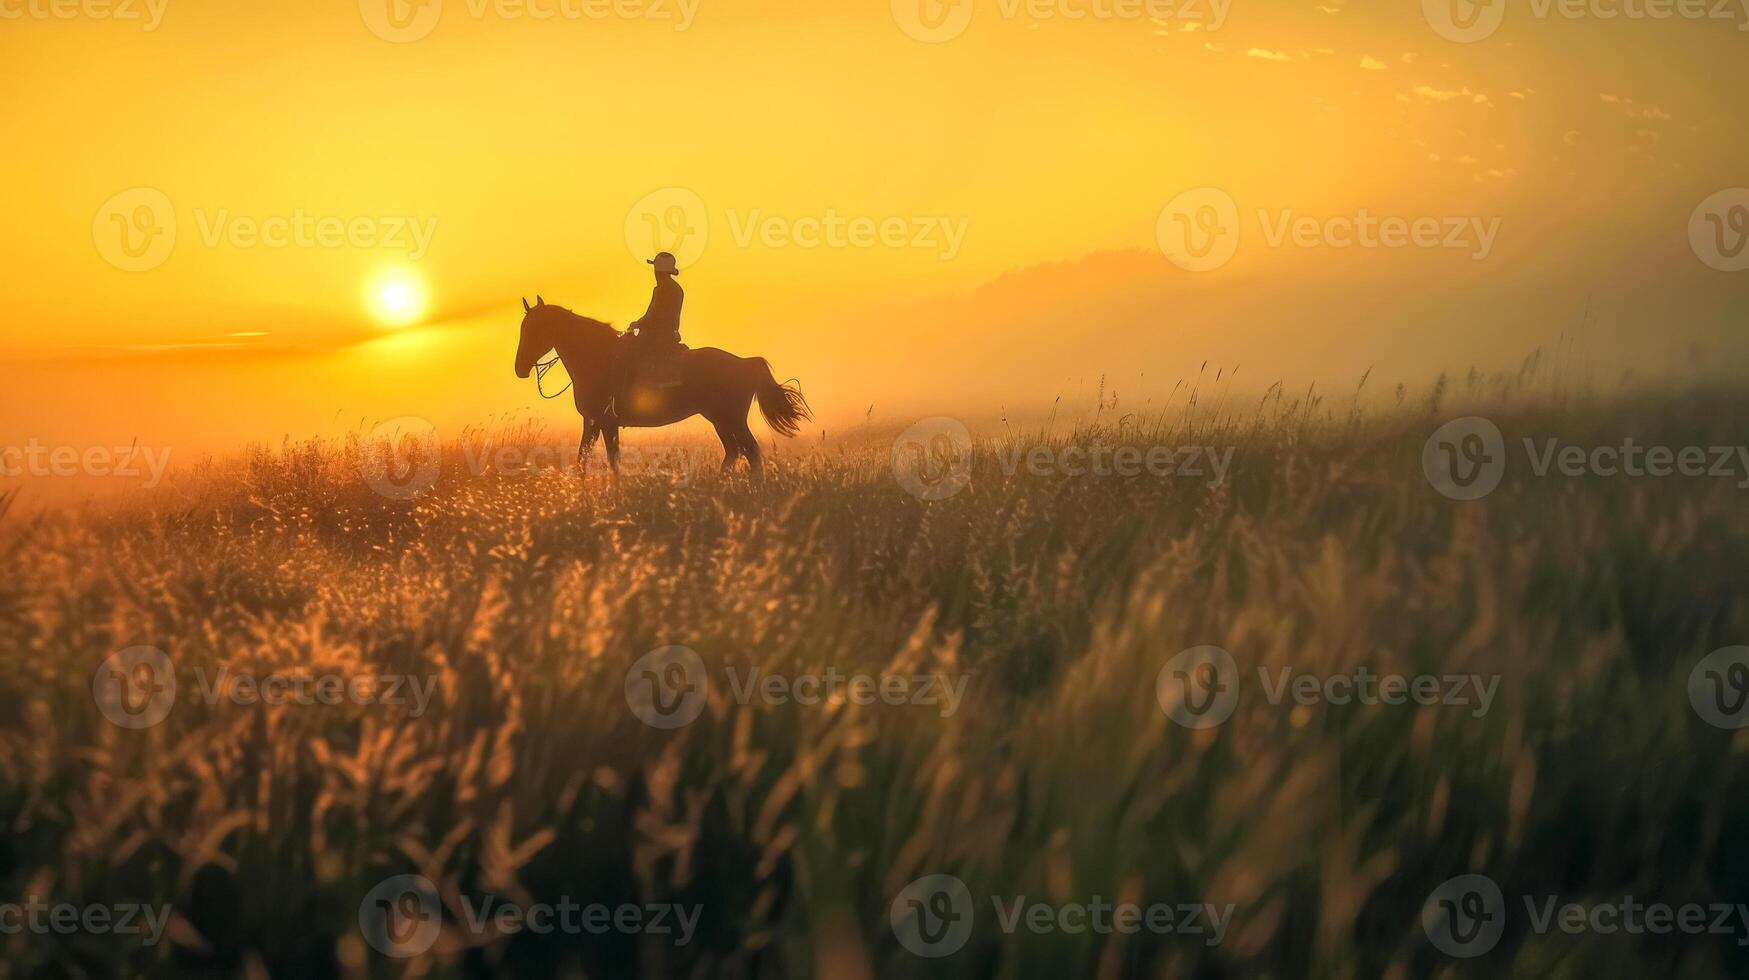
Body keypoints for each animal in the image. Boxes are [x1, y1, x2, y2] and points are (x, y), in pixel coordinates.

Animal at [507, 292, 804, 472]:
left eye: (534, 329)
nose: (520, 368)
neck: (598, 357)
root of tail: (746, 363)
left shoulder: (605, 421)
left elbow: (612, 461)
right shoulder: (592, 422)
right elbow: (583, 459)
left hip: (731, 418)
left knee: (750, 452)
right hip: (719, 419)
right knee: (734, 452)